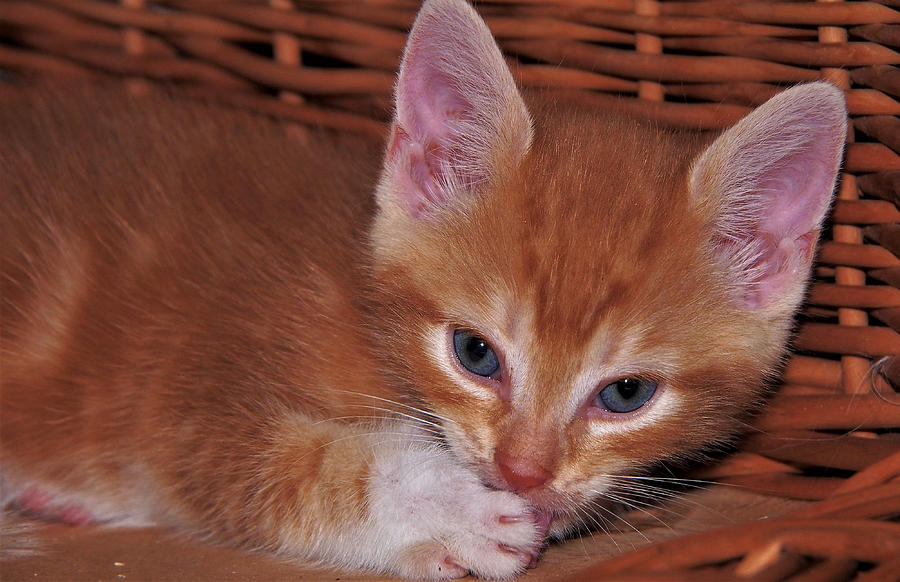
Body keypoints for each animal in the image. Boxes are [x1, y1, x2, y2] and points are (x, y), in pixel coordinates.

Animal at [0, 0, 848, 580]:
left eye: (626, 395)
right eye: (475, 353)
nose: (522, 473)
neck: (365, 321)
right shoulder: (182, 385)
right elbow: (283, 465)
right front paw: (445, 507)